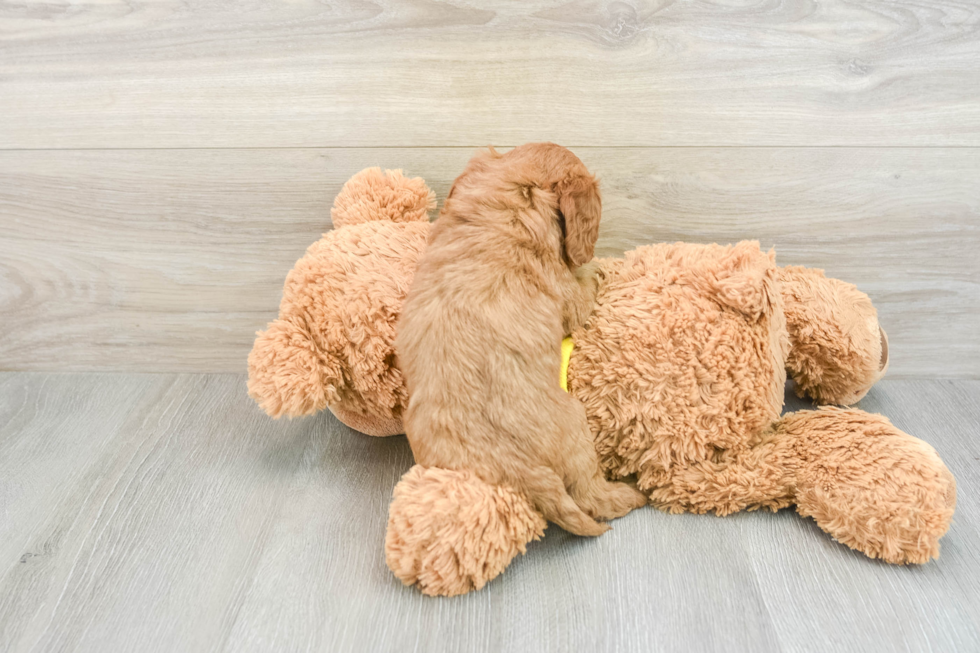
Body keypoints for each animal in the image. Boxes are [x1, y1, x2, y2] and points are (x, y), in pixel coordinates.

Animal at [394, 144, 648, 536]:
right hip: (576, 423)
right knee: (591, 495)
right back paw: (628, 494)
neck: (503, 209)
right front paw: (597, 266)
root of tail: (518, 470)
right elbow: (585, 284)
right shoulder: (569, 298)